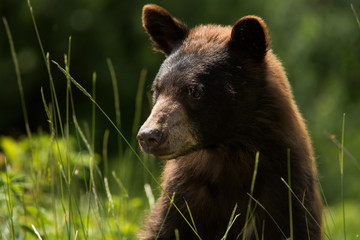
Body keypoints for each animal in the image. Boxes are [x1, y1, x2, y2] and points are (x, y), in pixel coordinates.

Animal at [137, 4, 324, 240]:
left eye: (194, 91)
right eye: (157, 89)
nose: (148, 135)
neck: (229, 155)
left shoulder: (288, 191)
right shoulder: (182, 196)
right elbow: (163, 229)